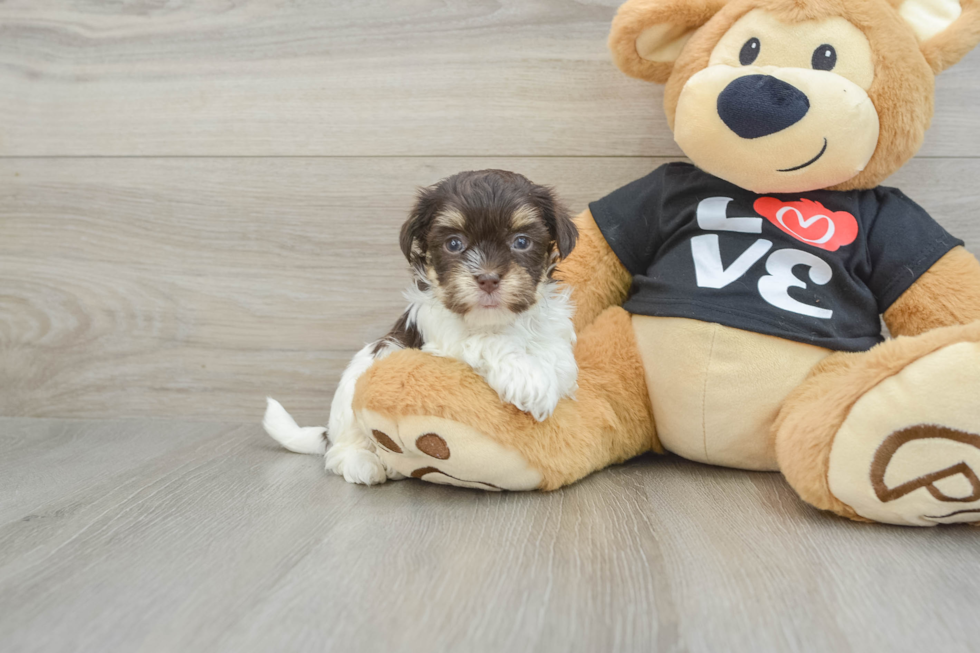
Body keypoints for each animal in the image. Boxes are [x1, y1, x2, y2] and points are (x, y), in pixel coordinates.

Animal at [264, 168, 580, 484]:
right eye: (454, 244)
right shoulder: (439, 336)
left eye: (522, 242)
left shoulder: (548, 325)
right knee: (340, 449)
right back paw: (364, 463)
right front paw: (529, 379)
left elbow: (557, 355)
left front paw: (552, 376)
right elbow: (484, 341)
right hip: (350, 397)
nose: (488, 278)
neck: (497, 321)